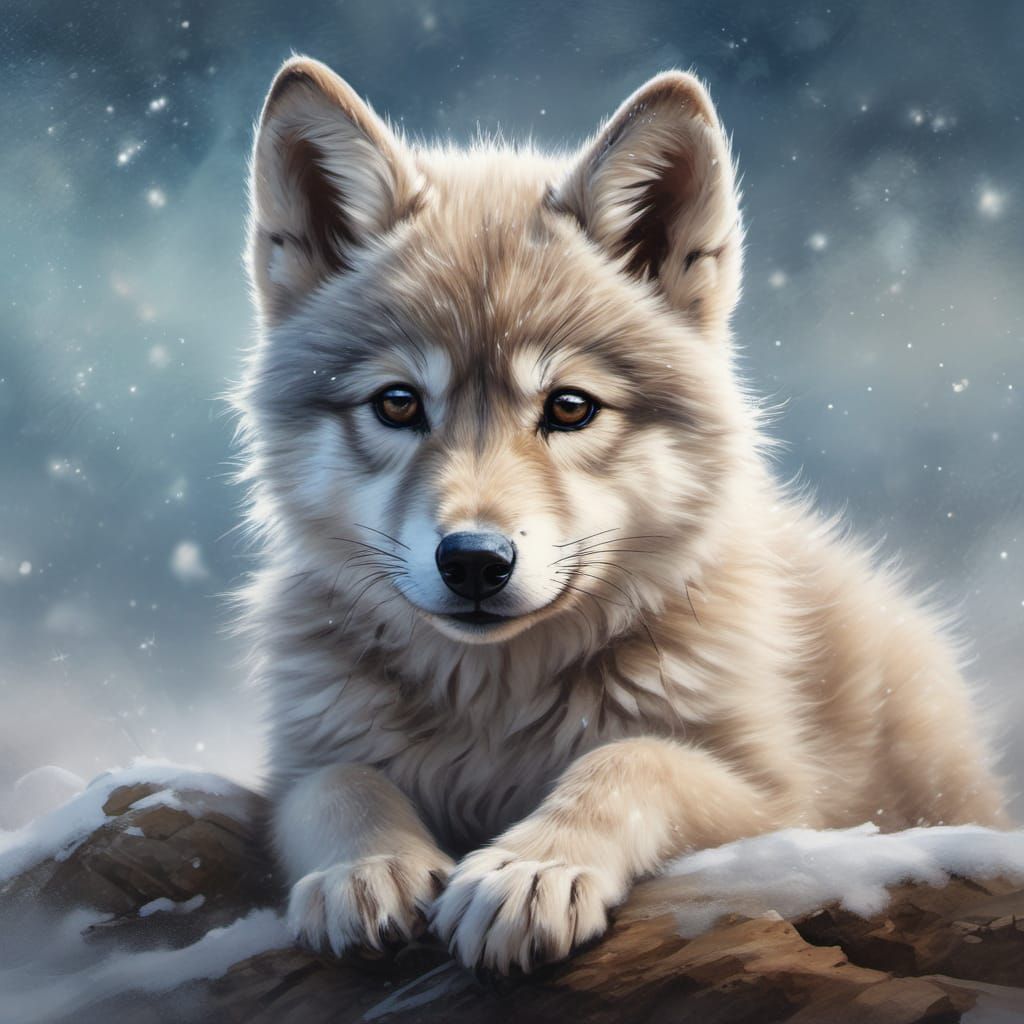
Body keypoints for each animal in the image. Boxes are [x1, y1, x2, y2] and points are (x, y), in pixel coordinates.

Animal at [234, 56, 1008, 973]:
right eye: (397, 403)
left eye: (569, 408)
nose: (474, 561)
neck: (495, 706)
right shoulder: (296, 766)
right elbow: (337, 782)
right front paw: (368, 867)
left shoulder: (784, 801)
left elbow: (633, 760)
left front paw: (532, 870)